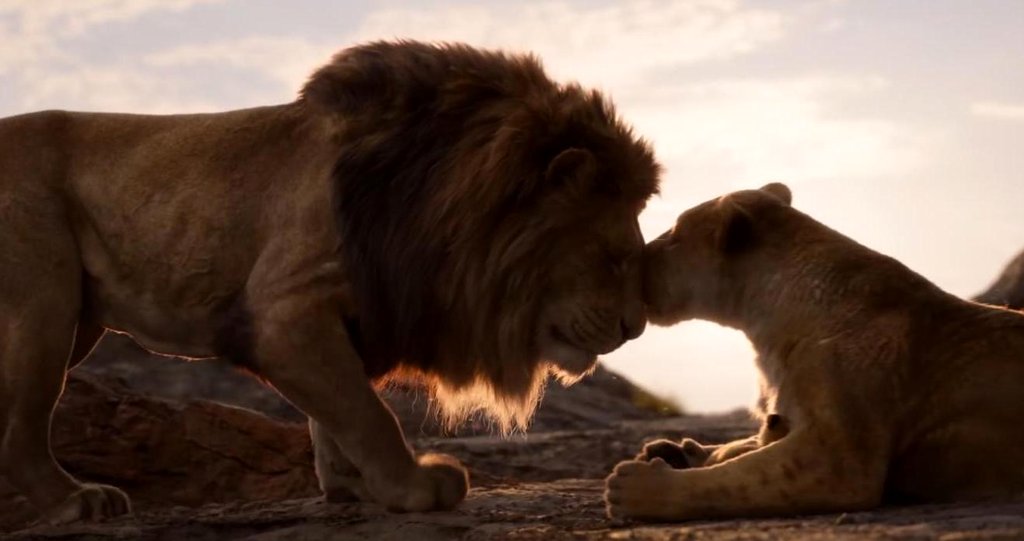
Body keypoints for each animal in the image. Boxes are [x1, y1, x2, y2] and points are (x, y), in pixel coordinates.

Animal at [0, 40, 660, 524]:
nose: (634, 328)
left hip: (77, 319)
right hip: (45, 299)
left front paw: (352, 486)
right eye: (613, 256)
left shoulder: (348, 318)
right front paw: (410, 486)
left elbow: (338, 414)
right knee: (21, 426)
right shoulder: (281, 312)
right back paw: (75, 500)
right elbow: (369, 413)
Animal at [606, 183, 1024, 521]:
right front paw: (673, 450)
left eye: (674, 235)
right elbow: (745, 450)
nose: (636, 258)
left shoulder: (841, 457)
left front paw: (633, 486)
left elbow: (736, 479)